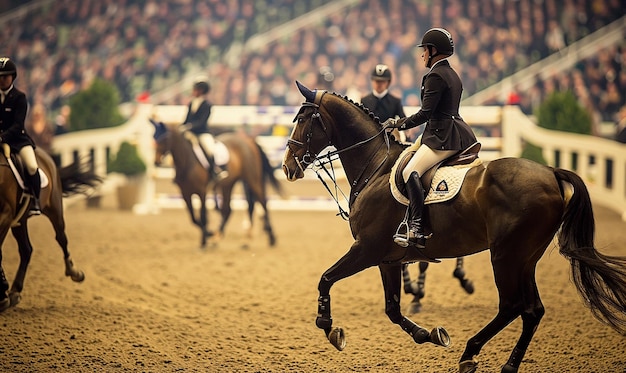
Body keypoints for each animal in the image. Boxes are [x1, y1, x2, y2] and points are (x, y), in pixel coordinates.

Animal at [0, 147, 101, 310]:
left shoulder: (6, 214)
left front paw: (2, 297)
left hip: (54, 208)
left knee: (61, 239)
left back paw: (74, 272)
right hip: (20, 220)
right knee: (26, 249)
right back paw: (15, 292)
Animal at [151, 121, 280, 247]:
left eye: (164, 138)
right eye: (154, 137)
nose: (156, 162)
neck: (187, 161)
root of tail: (249, 140)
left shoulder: (202, 191)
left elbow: (203, 216)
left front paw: (204, 240)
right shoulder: (185, 193)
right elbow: (193, 218)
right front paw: (208, 234)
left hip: (252, 179)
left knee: (262, 202)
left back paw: (272, 238)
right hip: (228, 184)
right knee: (228, 209)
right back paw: (217, 236)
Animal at [282, 80, 624, 372]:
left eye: (303, 119)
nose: (287, 167)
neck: (375, 166)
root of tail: (552, 172)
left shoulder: (367, 249)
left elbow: (326, 279)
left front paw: (328, 327)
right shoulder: (387, 259)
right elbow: (392, 309)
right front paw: (429, 335)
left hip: (506, 255)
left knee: (512, 305)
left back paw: (470, 353)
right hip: (526, 258)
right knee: (532, 310)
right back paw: (507, 365)